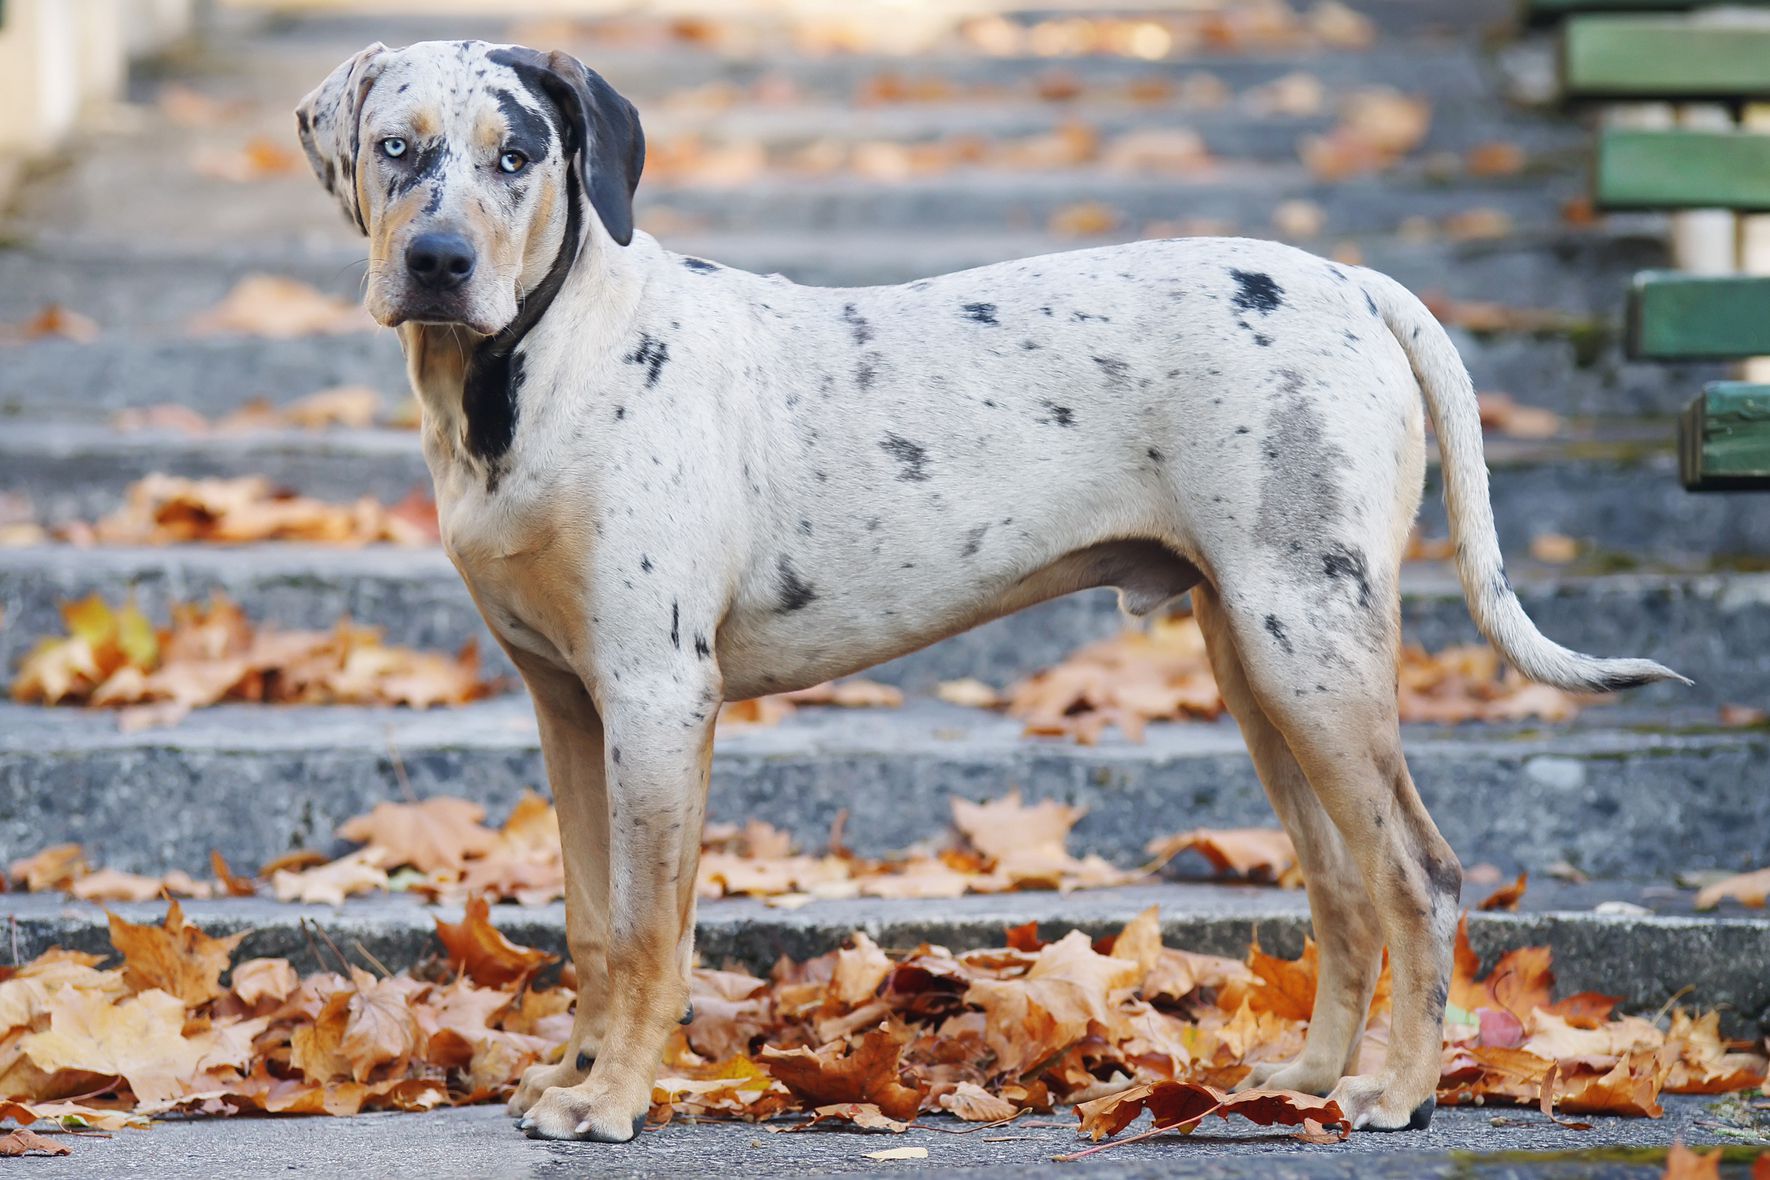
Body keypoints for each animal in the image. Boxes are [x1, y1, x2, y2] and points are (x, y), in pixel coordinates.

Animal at [297, 39, 1677, 1146]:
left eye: (517, 154)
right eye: (395, 146)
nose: (436, 260)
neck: (532, 370)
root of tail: (1352, 282)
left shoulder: (654, 698)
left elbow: (645, 930)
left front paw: (613, 1100)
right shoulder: (568, 705)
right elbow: (590, 921)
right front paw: (576, 1074)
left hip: (1310, 647)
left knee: (1419, 875)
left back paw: (1399, 1092)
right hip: (1256, 656)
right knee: (1343, 883)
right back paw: (1306, 1077)